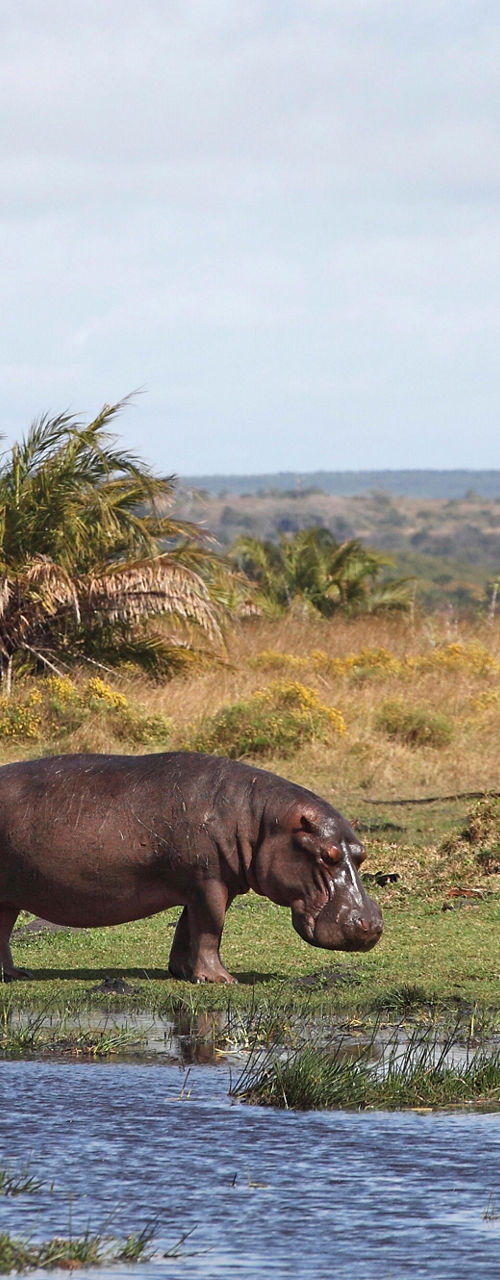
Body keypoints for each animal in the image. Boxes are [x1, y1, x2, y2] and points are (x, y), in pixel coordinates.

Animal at [0, 751, 383, 982]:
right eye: (328, 855)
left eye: (361, 854)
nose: (372, 925)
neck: (260, 819)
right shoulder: (208, 881)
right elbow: (211, 928)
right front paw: (223, 980)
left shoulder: (208, 885)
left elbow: (190, 927)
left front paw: (183, 972)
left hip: (8, 897)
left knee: (2, 933)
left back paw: (16, 975)